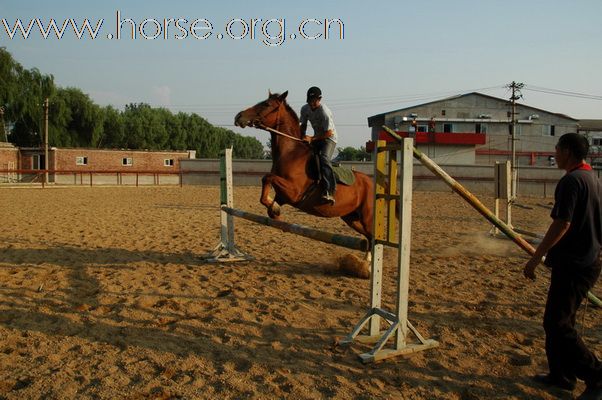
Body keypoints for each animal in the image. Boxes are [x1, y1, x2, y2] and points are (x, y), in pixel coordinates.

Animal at [233, 92, 370, 242]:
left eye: (266, 104)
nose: (239, 116)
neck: (290, 153)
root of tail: (372, 181)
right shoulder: (283, 196)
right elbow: (268, 198)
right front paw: (274, 209)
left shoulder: (294, 192)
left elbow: (267, 177)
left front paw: (274, 207)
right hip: (351, 217)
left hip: (366, 217)